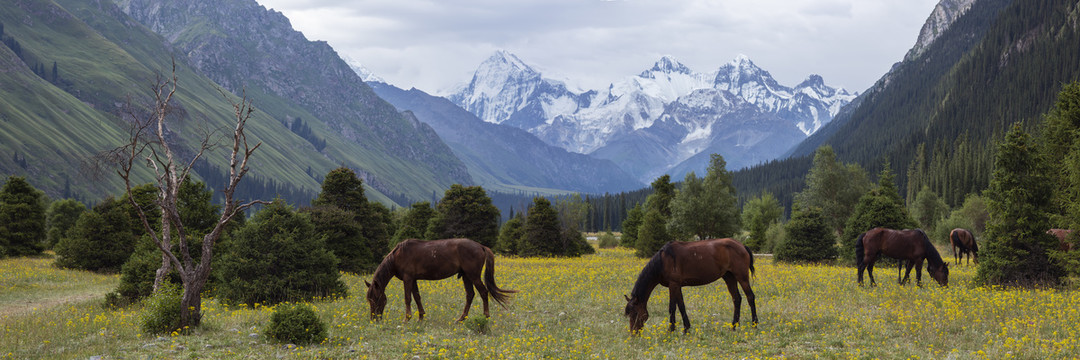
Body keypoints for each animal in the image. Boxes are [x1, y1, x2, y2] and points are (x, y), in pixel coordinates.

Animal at [362, 237, 514, 320]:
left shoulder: (408, 278)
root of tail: (481, 246)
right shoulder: (414, 279)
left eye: (376, 299)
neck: (397, 256)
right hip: (466, 276)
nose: (374, 319)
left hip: (473, 276)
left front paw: (407, 319)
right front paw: (421, 317)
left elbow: (408, 298)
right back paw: (461, 319)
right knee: (470, 295)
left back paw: (486, 316)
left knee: (483, 292)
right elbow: (417, 297)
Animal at [622, 237, 756, 332]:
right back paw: (734, 326)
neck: (663, 261)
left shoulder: (673, 284)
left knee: (750, 297)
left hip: (742, 277)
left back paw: (754, 324)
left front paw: (671, 329)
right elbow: (681, 305)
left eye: (635, 313)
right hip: (729, 277)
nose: (633, 333)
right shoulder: (677, 286)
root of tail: (742, 246)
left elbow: (672, 307)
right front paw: (686, 328)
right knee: (736, 299)